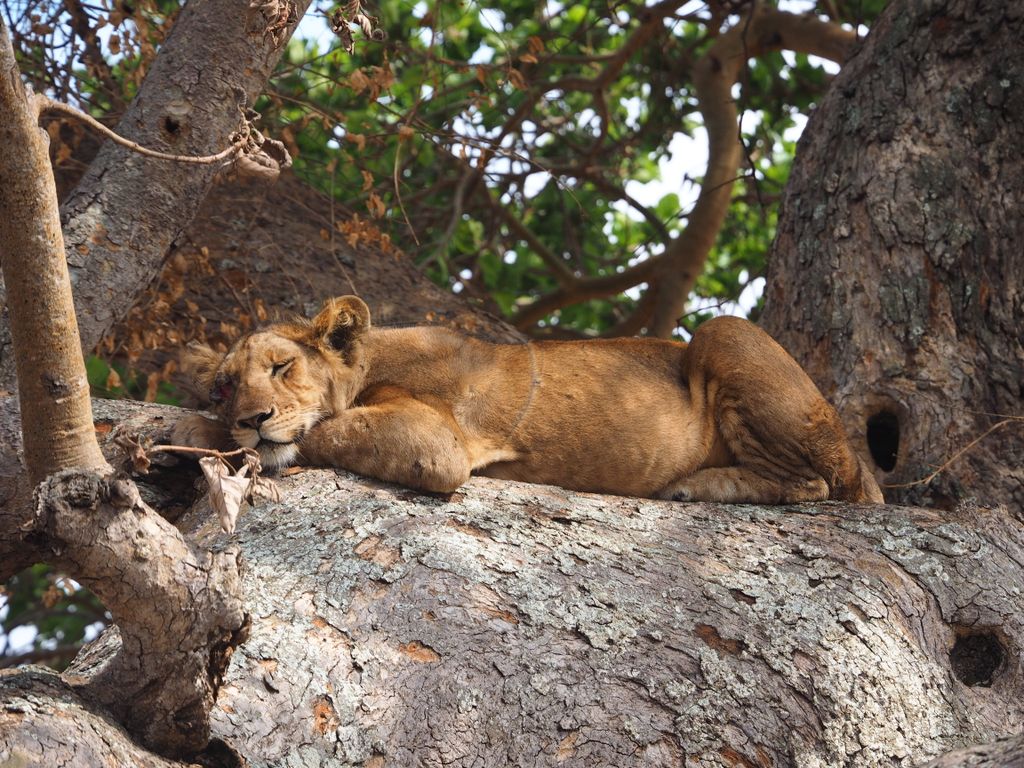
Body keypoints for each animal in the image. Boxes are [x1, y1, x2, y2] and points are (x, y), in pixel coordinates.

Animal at [173, 295, 884, 504]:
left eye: (282, 366)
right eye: (226, 385)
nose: (252, 418)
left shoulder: (440, 446)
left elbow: (328, 429)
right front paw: (203, 432)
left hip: (724, 332)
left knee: (820, 484)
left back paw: (695, 486)